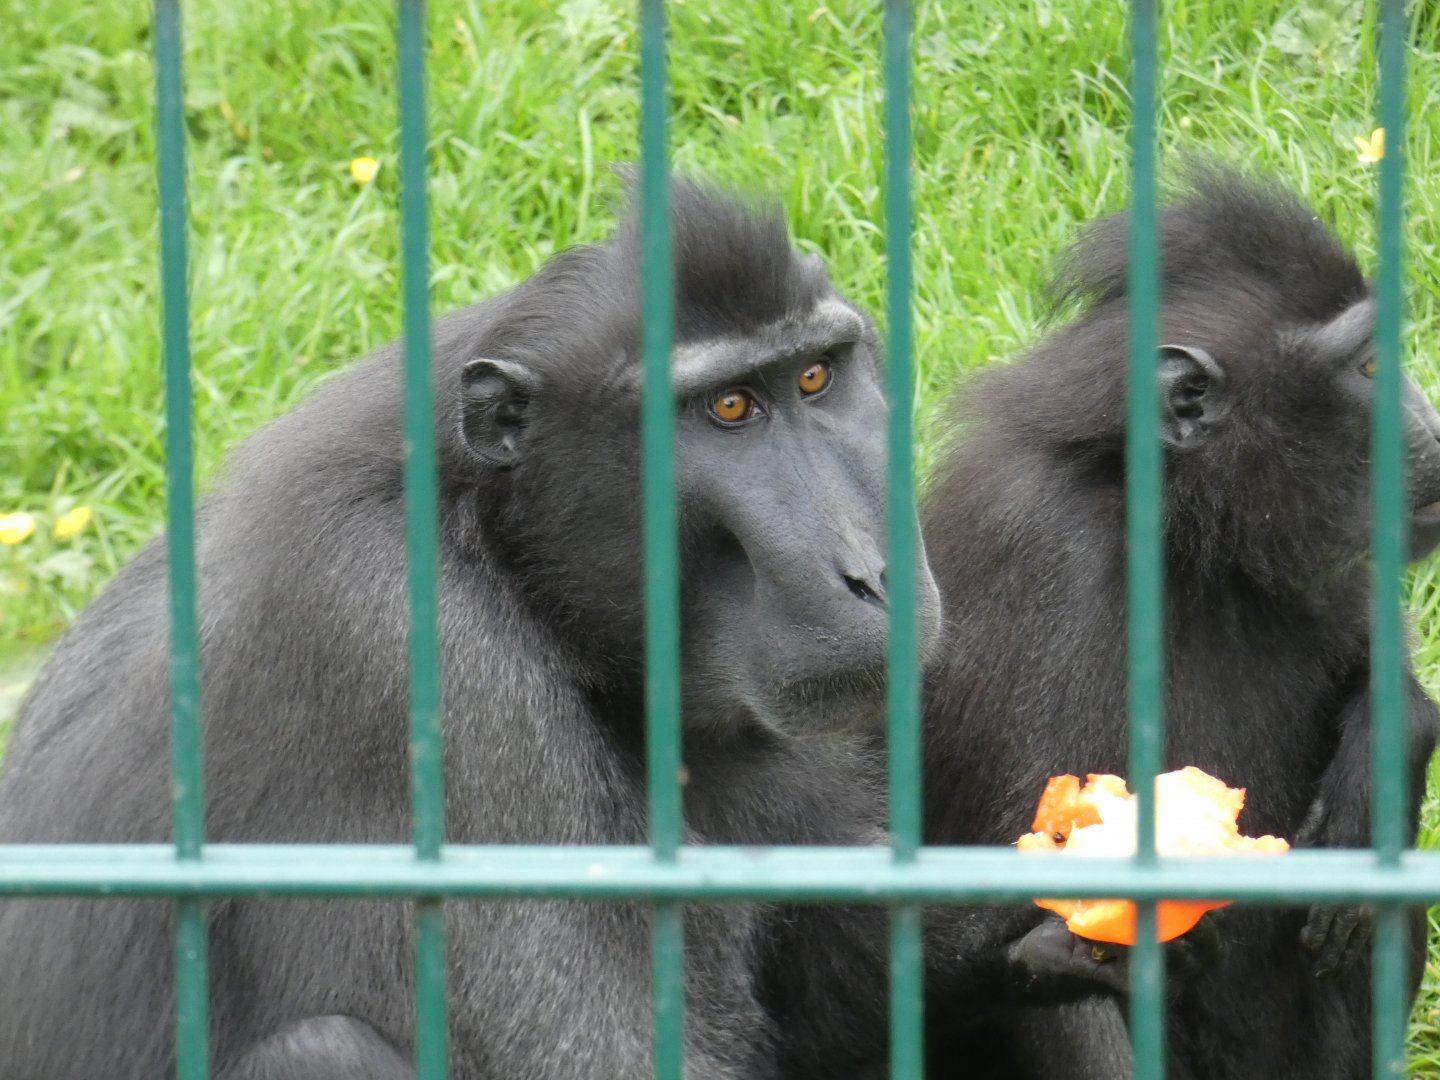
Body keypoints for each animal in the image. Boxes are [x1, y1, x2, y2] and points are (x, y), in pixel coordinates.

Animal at [0, 179, 1119, 1080]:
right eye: (727, 412)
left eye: (816, 378)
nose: (872, 574)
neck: (499, 543)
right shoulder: (407, 664)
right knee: (322, 1049)